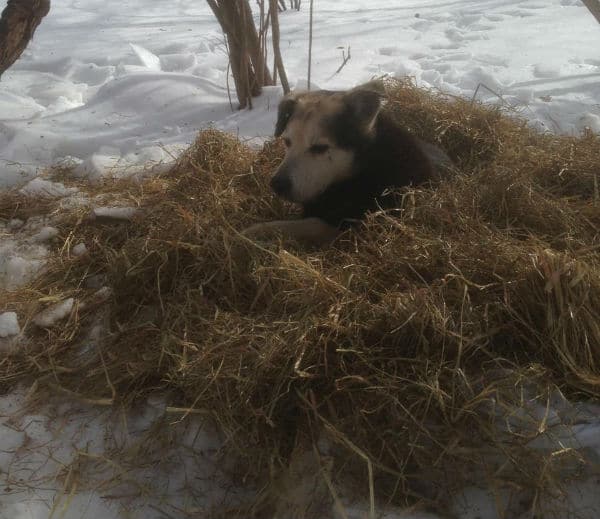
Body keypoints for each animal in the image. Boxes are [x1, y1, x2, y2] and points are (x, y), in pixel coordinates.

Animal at [244, 83, 450, 246]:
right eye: (287, 142)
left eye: (320, 148)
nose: (276, 185)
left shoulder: (346, 226)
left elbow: (303, 225)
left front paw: (252, 233)